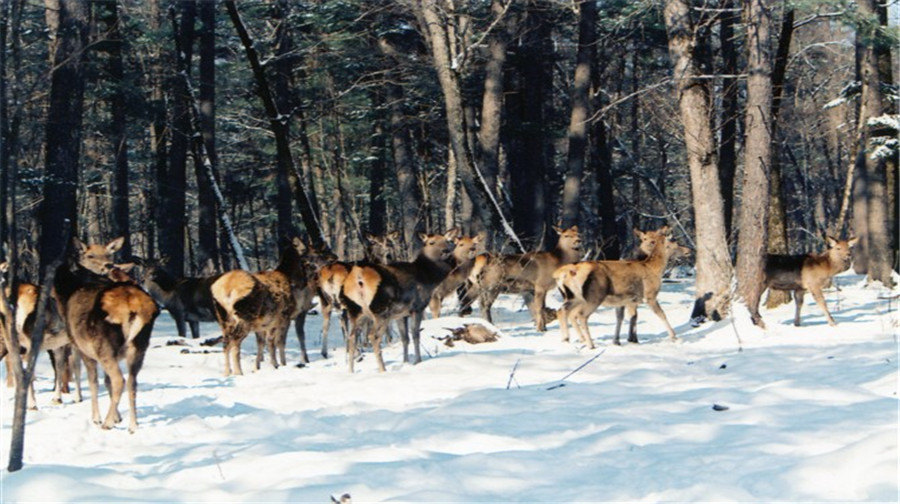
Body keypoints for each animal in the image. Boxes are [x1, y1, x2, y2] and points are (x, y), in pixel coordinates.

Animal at [54, 237, 160, 434]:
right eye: (90, 255)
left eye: (109, 254)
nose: (108, 266)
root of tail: (133, 307)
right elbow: (106, 381)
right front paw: (118, 417)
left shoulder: (83, 348)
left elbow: (94, 382)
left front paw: (97, 418)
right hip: (139, 347)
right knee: (132, 382)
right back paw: (133, 425)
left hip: (103, 346)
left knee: (119, 380)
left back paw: (106, 423)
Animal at [342, 231, 458, 370]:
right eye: (431, 242)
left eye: (447, 241)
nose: (445, 251)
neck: (428, 279)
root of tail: (358, 278)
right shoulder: (417, 307)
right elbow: (415, 334)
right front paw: (417, 361)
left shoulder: (400, 314)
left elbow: (405, 338)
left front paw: (405, 362)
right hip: (381, 310)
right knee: (373, 336)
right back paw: (382, 369)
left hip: (356, 312)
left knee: (351, 337)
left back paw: (351, 371)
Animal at [552, 227, 684, 348]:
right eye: (675, 243)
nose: (687, 250)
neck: (654, 268)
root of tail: (560, 273)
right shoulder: (649, 295)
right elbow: (661, 314)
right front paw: (674, 337)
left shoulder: (627, 300)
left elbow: (627, 317)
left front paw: (623, 340)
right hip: (594, 296)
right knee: (580, 315)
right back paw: (590, 344)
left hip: (573, 297)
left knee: (564, 311)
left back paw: (568, 339)